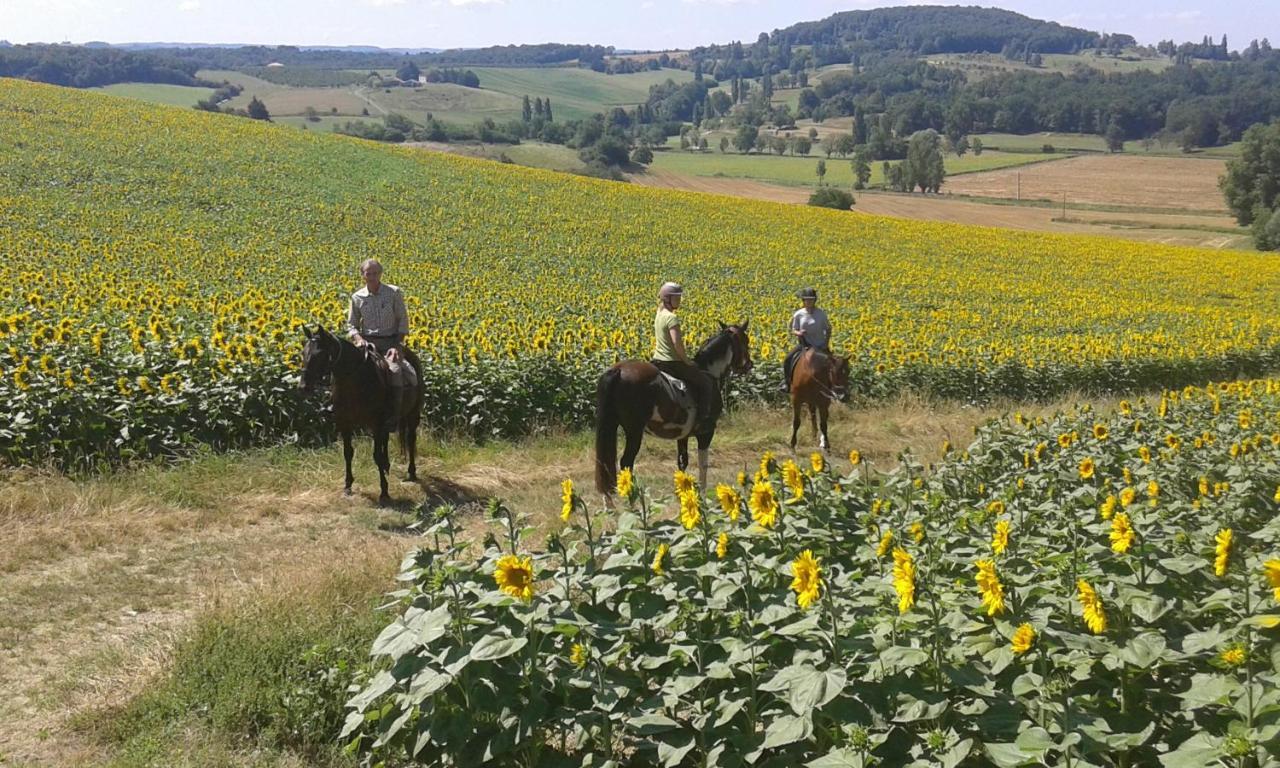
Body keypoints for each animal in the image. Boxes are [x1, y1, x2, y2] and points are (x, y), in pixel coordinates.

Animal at [296, 323, 422, 504]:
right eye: (303, 353)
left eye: (320, 354)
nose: (303, 388)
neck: (355, 380)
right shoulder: (345, 423)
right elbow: (348, 452)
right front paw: (348, 485)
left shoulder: (376, 424)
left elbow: (376, 455)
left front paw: (384, 491)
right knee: (387, 440)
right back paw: (387, 466)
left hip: (413, 414)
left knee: (411, 439)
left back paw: (411, 472)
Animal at [596, 321, 747, 494]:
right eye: (746, 340)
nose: (749, 365)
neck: (710, 372)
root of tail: (618, 370)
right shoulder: (706, 433)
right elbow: (703, 465)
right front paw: (702, 494)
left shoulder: (683, 435)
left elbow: (682, 462)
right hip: (634, 431)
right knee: (626, 462)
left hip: (612, 425)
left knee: (605, 465)